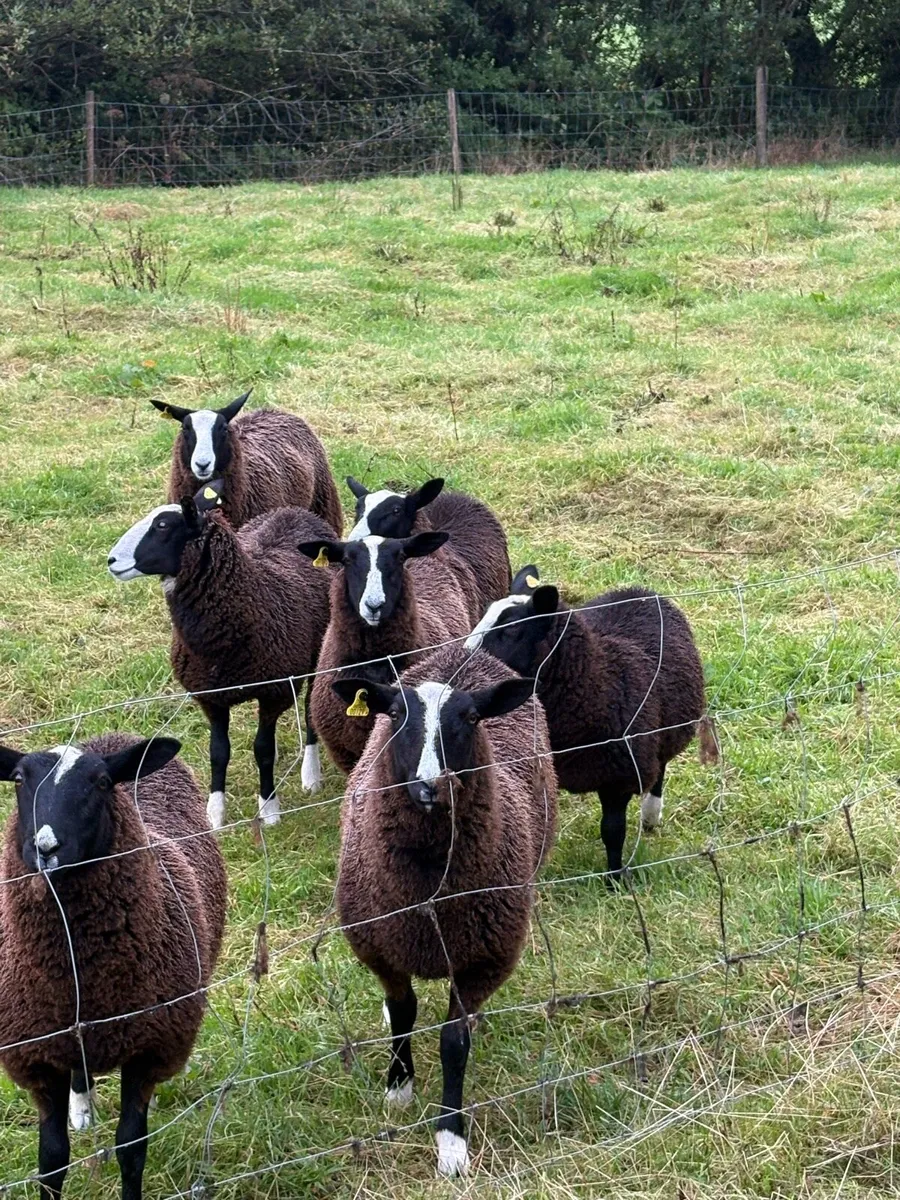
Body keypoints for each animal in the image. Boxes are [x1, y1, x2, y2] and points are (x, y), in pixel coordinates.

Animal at [0, 732, 227, 1200]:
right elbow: (51, 1158)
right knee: (81, 1069)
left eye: (102, 782)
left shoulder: (148, 1046)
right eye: (17, 779)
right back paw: (82, 1109)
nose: (45, 849)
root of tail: (114, 738)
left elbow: (131, 1148)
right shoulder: (40, 1056)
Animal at [107, 478, 335, 829]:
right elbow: (219, 752)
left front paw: (269, 809)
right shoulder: (210, 696)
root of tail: (294, 511)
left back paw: (310, 776)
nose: (111, 560)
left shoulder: (274, 691)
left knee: (311, 713)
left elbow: (263, 750)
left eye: (162, 526)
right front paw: (215, 814)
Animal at [331, 641, 558, 1177]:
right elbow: (404, 1009)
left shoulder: (483, 959)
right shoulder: (379, 946)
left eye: (472, 718)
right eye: (395, 714)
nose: (429, 786)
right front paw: (399, 1087)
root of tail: (462, 651)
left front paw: (451, 1140)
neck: (431, 890)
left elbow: (454, 1043)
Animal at [465, 567, 708, 880]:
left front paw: (615, 878)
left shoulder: (619, 777)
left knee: (660, 768)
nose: (463, 658)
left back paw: (651, 816)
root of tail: (639, 590)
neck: (599, 680)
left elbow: (613, 832)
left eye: (511, 629)